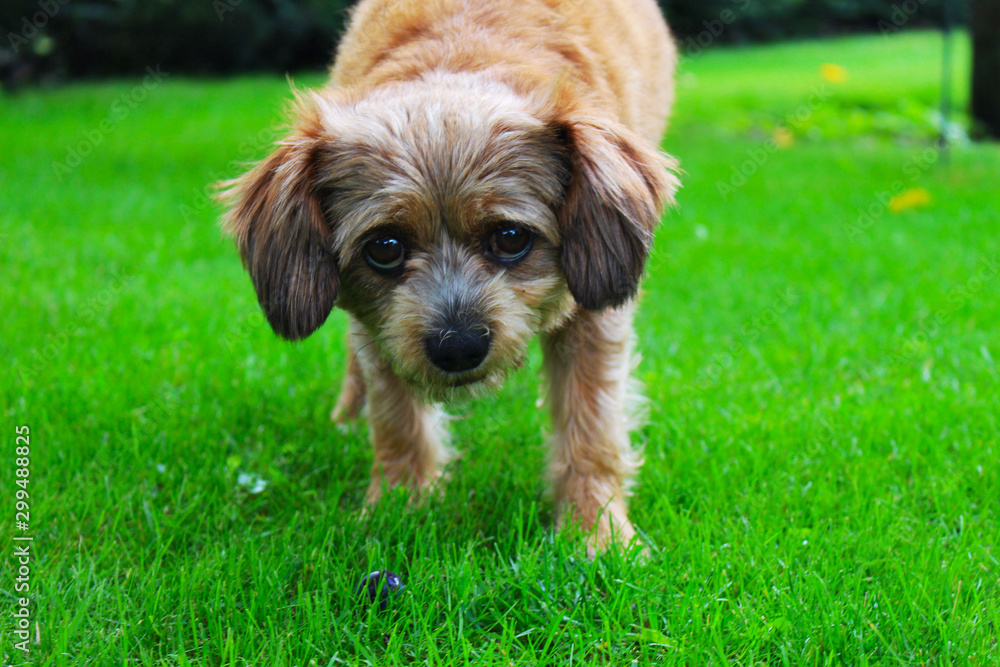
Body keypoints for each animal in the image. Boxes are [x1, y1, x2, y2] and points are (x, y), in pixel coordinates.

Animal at [220, 0, 679, 554]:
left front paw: (596, 533)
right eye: (385, 248)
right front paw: (398, 509)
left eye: (510, 237)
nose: (458, 347)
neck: (461, 52)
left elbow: (590, 426)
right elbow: (396, 418)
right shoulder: (381, 327)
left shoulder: (593, 313)